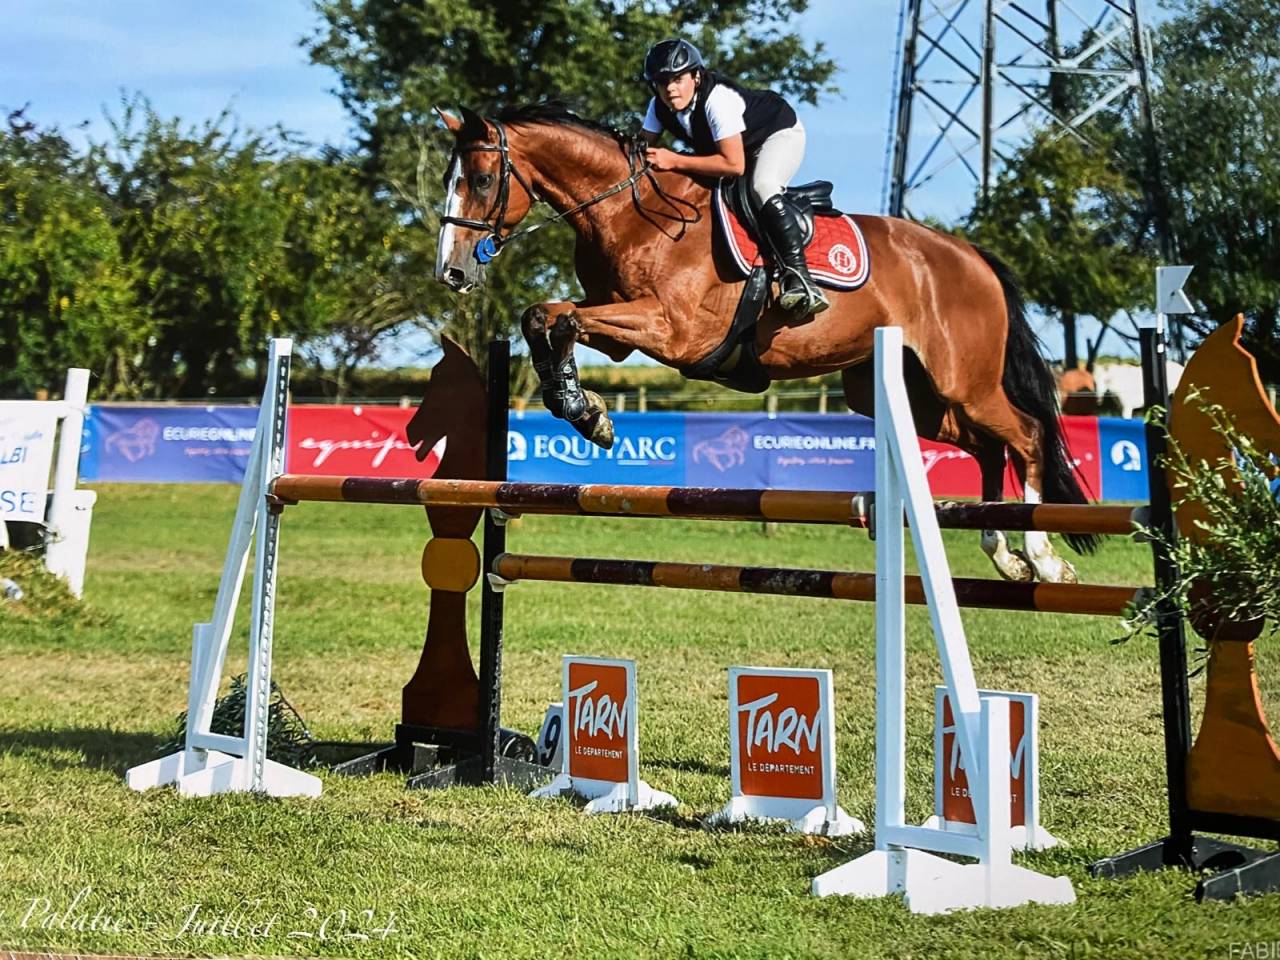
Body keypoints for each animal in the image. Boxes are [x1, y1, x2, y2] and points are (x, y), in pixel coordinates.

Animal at [432, 102, 1097, 584]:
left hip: (965, 380)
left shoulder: (671, 331)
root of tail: (971, 256)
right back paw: (1004, 554)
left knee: (1026, 434)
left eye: (483, 179)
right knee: (987, 445)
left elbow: (562, 320)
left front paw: (586, 413)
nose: (452, 272)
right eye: (448, 179)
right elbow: (544, 316)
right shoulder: (620, 329)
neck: (631, 212)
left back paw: (1042, 558)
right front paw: (579, 405)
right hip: (907, 393)